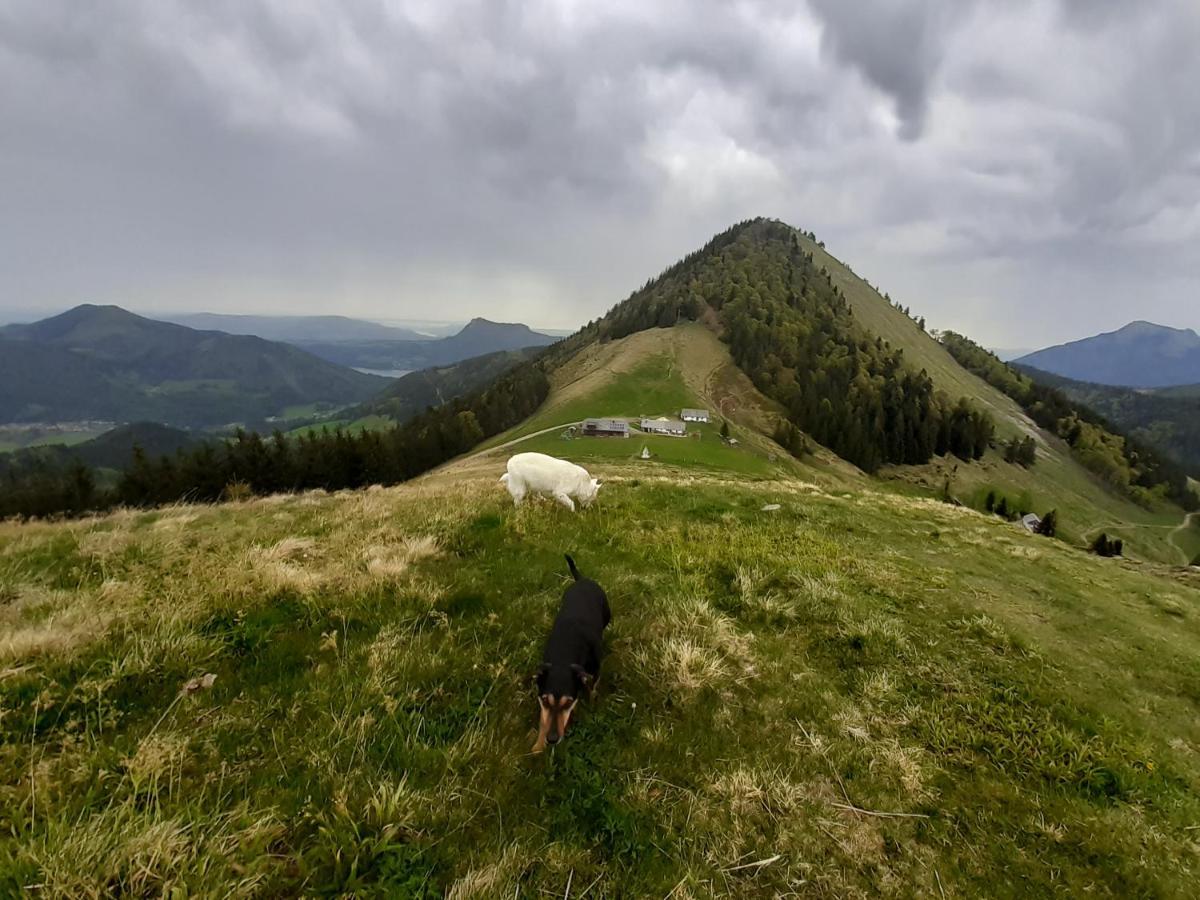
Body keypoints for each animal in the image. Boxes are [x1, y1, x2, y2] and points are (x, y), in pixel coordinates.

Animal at [532, 556, 609, 753]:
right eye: (545, 700)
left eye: (568, 703)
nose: (552, 739)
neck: (564, 654)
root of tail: (582, 579)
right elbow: (543, 719)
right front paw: (538, 745)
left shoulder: (595, 671)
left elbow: (592, 688)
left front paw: (591, 704)